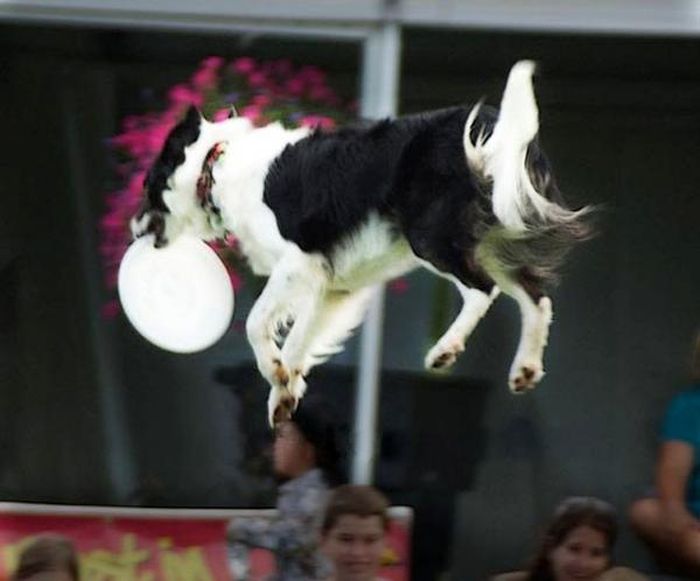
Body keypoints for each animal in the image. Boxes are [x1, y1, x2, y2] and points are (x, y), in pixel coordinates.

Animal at [130, 61, 592, 424]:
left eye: (147, 186)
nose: (133, 227)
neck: (216, 165)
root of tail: (490, 125)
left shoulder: (299, 262)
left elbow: (256, 322)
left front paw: (275, 372)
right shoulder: (332, 285)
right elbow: (299, 340)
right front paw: (283, 392)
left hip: (431, 236)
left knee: (484, 290)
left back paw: (445, 351)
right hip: (492, 241)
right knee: (536, 297)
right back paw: (526, 369)